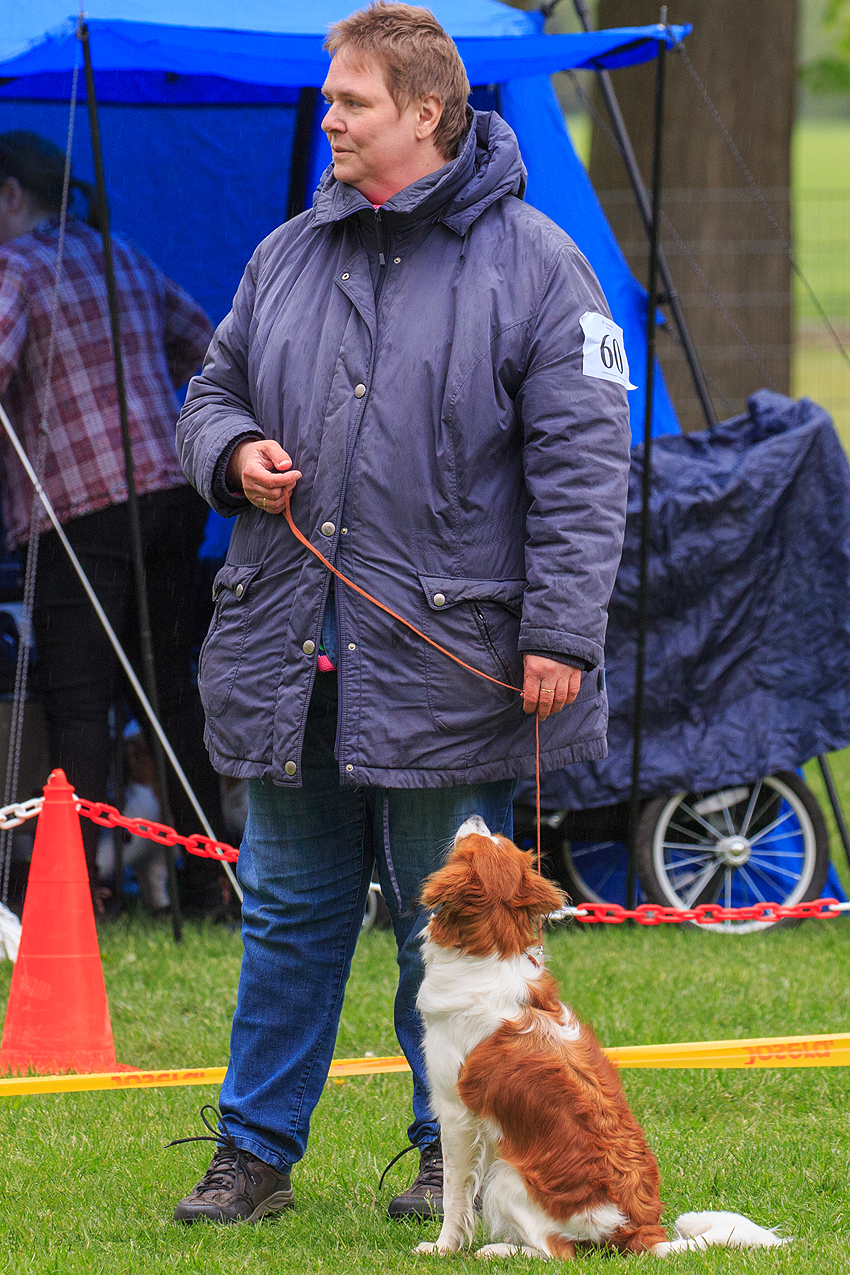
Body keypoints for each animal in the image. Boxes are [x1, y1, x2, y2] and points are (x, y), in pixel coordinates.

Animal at [412, 816, 790, 1264]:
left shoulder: (456, 1115)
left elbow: (455, 1197)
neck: (491, 952)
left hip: (507, 1175)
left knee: (556, 1251)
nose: (475, 818)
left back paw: (499, 1250)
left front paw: (442, 1248)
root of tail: (641, 1233)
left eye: (474, 844)